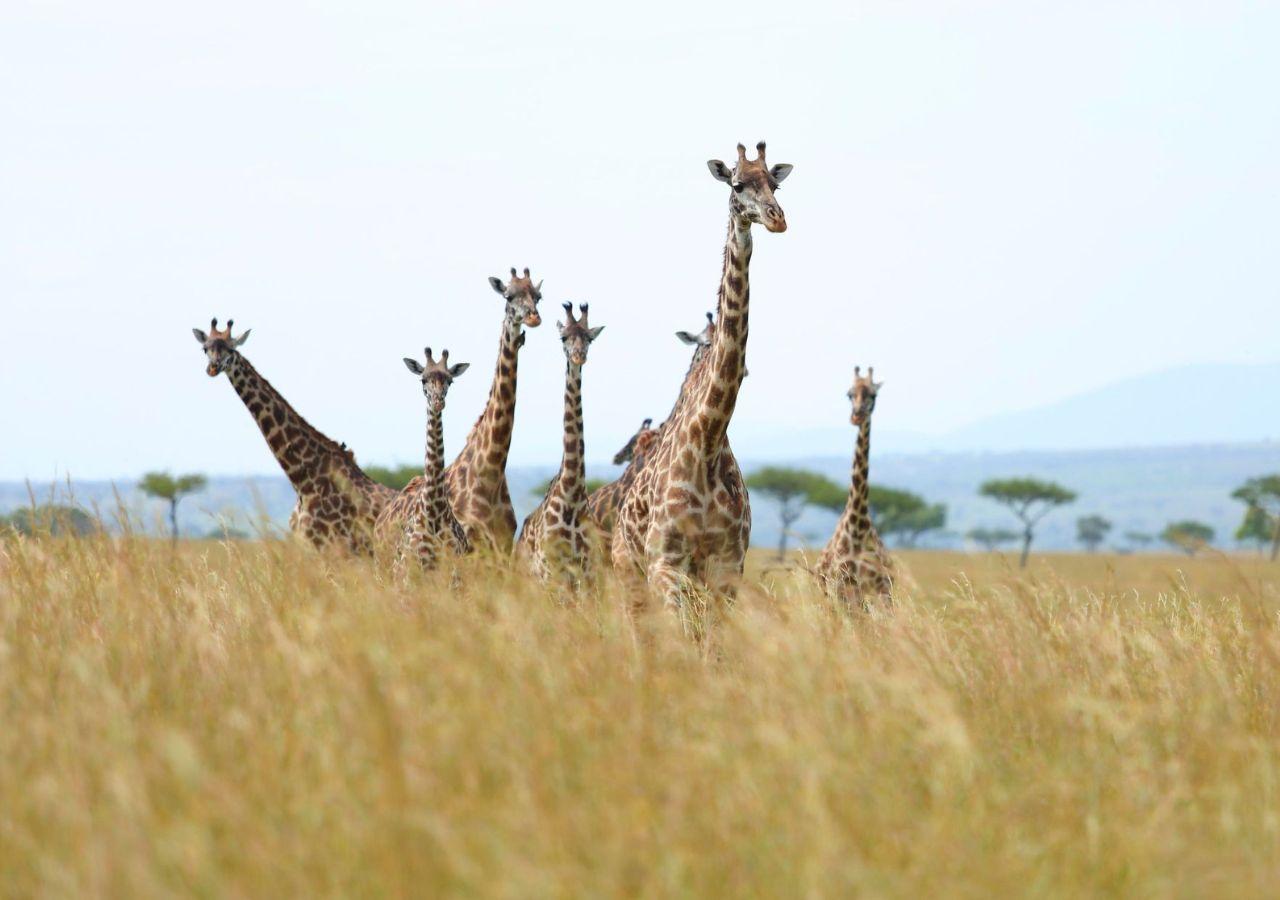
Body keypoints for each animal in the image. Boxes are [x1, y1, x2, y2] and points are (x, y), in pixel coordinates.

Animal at [193, 318, 394, 552]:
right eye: (205, 348)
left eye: (231, 349)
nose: (213, 367)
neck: (302, 480)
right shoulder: (307, 547)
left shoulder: (332, 549)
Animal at [444, 267, 543, 553]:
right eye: (508, 296)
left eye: (538, 297)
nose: (533, 317)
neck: (491, 473)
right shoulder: (473, 542)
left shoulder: (504, 544)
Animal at [516, 303, 605, 581]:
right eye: (563, 338)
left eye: (589, 338)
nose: (578, 357)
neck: (572, 495)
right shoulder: (550, 572)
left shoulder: (587, 571)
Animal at [612, 141, 792, 604]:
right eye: (737, 184)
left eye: (776, 182)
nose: (776, 218)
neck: (708, 440)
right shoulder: (665, 564)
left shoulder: (727, 567)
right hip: (629, 570)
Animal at [815, 366, 895, 609]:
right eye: (849, 394)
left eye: (873, 395)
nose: (857, 416)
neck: (858, 530)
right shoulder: (840, 590)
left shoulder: (881, 591)